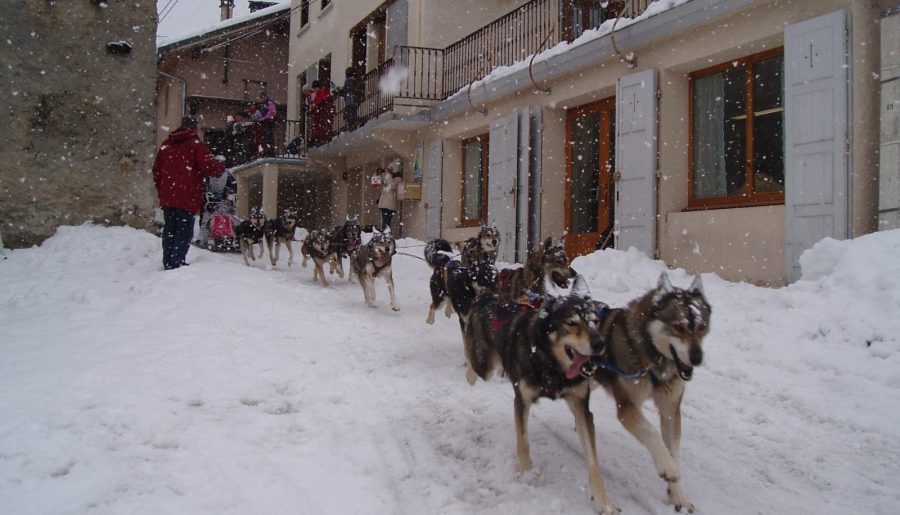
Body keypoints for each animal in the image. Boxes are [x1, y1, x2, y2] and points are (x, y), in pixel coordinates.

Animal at [492, 294, 620, 515]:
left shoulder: (582, 407)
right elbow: (522, 441)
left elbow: (593, 462)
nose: (599, 343)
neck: (552, 367)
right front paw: (526, 473)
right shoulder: (521, 401)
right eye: (572, 323)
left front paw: (604, 502)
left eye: (595, 321)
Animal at [596, 272, 712, 512]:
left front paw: (678, 496)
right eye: (678, 327)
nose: (697, 358)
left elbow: (674, 450)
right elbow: (651, 433)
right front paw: (667, 467)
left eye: (702, 327)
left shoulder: (670, 409)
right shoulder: (627, 407)